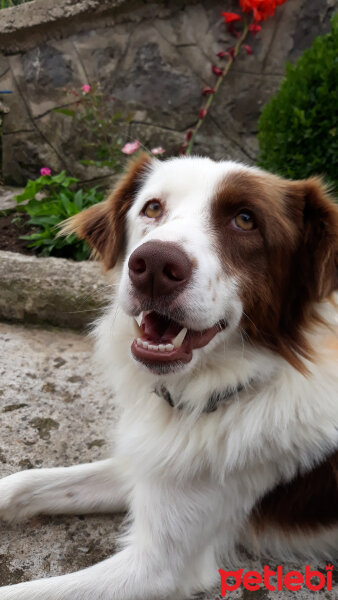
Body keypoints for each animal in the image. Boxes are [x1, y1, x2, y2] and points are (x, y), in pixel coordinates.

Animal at [0, 152, 336, 596]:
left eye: (246, 220)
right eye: (153, 207)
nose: (155, 265)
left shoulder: (157, 567)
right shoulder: (150, 463)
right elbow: (24, 482)